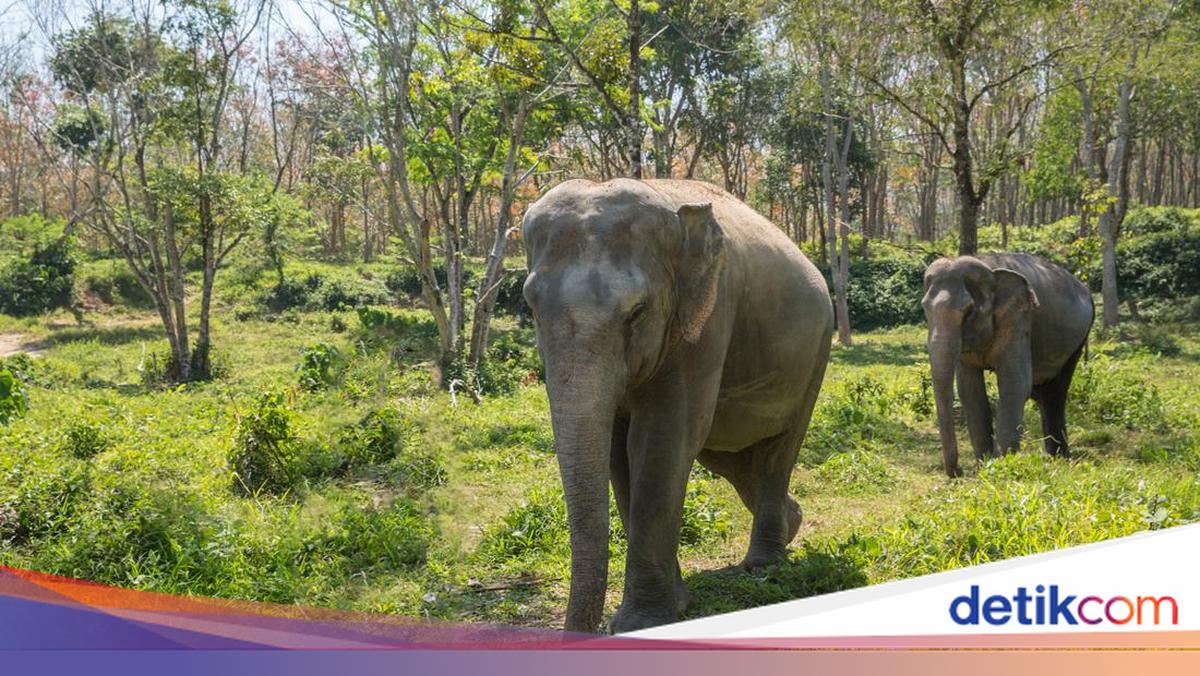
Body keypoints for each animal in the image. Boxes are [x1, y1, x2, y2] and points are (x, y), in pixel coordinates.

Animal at [521, 178, 833, 633]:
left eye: (637, 311)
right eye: (531, 307)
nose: (582, 635)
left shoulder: (707, 321)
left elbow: (661, 439)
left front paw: (642, 623)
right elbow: (618, 450)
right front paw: (676, 604)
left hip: (816, 356)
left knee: (778, 451)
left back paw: (763, 565)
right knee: (730, 456)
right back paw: (792, 522)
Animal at [922, 253, 1095, 478]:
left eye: (969, 311)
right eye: (924, 308)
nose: (959, 471)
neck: (988, 267)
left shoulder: (1018, 320)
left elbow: (1014, 385)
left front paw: (999, 467)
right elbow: (970, 391)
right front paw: (983, 467)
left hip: (1077, 341)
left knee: (1056, 392)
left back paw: (1061, 460)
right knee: (1042, 393)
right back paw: (1055, 459)